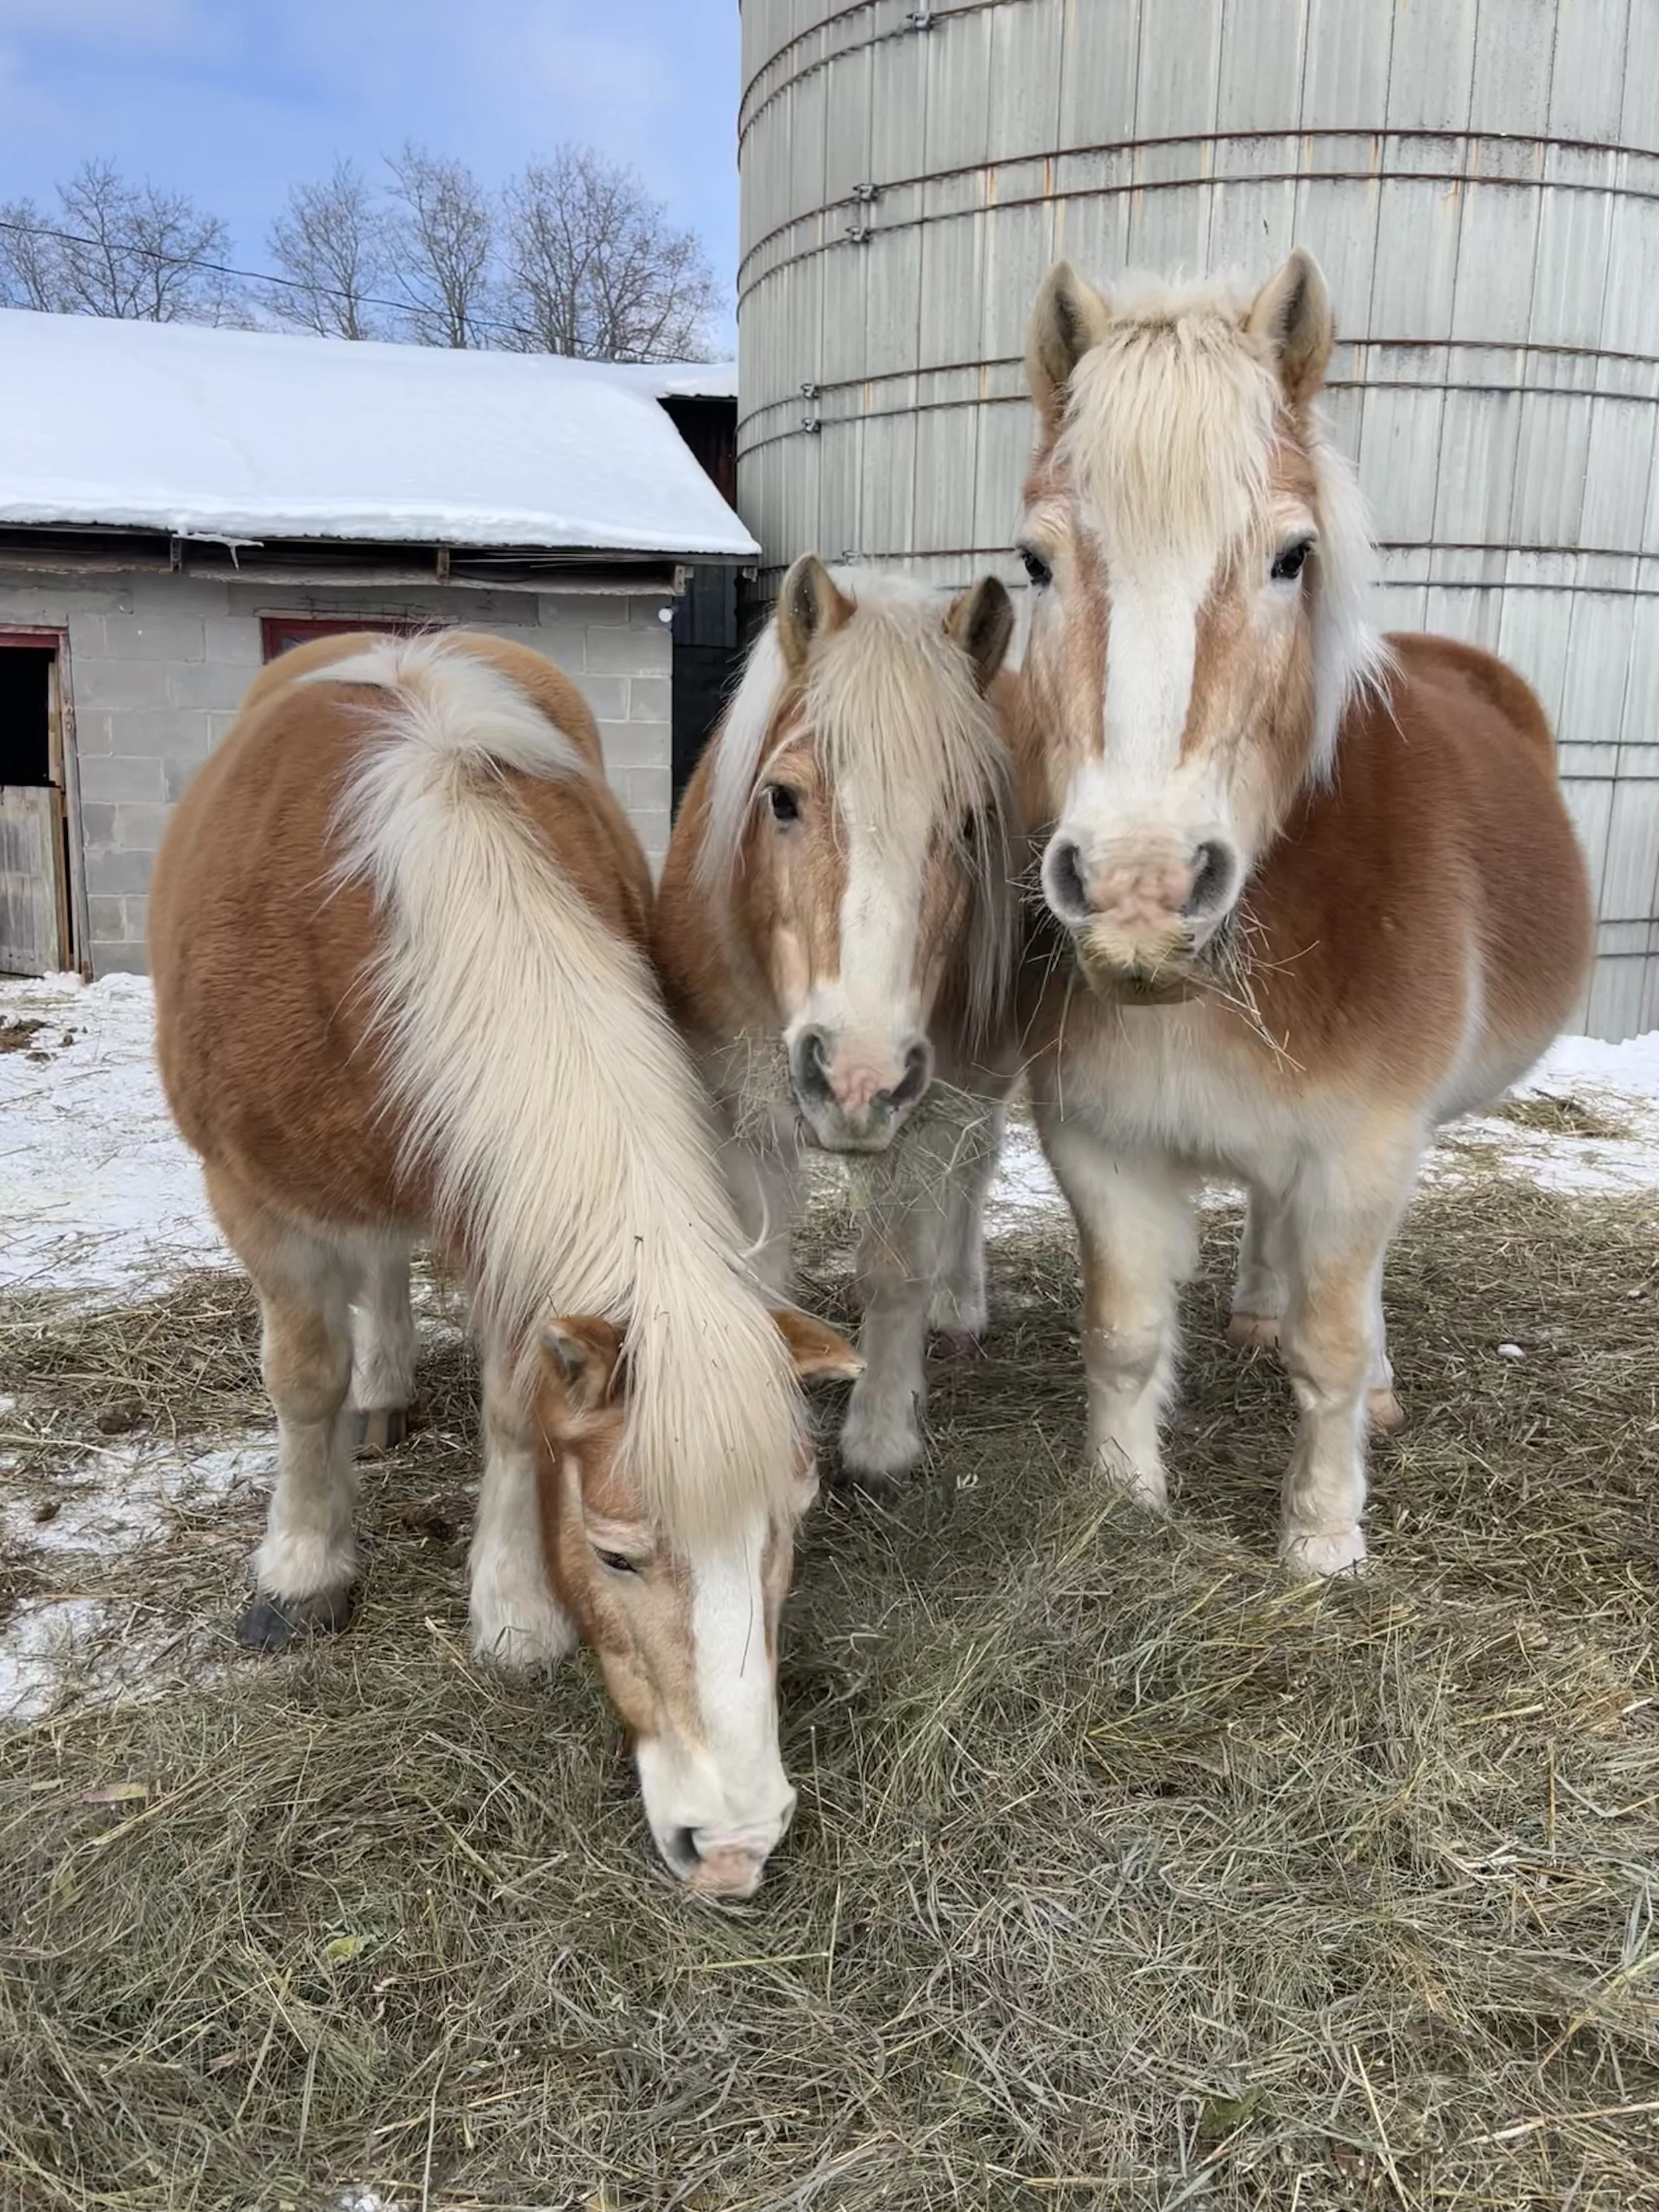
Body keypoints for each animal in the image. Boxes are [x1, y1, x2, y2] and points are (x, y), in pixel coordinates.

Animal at [149, 630, 859, 1898]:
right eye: (618, 1557)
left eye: (789, 1529)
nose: (733, 1847)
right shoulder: (259, 1204)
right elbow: (303, 1378)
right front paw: (300, 1568)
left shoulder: (503, 1230)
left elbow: (518, 1410)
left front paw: (516, 1610)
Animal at [655, 556, 1022, 1481]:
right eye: (782, 800)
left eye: (972, 821)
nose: (857, 1077)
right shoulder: (740, 1114)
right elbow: (763, 1278)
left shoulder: (923, 1120)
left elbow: (894, 1272)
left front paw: (881, 1437)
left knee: (974, 1176)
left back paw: (960, 1302)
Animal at [1010, 249, 1593, 1576]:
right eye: (1034, 564)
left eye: (1291, 557)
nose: (1138, 893)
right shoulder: (1100, 1144)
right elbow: (1124, 1332)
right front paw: (1125, 1498)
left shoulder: (1363, 1149)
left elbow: (1330, 1350)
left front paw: (1322, 1541)